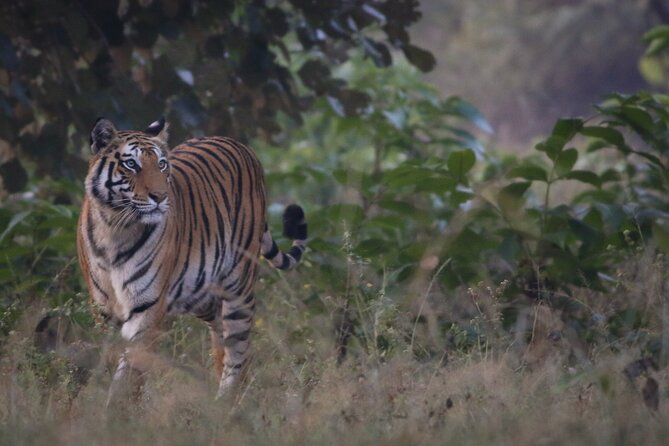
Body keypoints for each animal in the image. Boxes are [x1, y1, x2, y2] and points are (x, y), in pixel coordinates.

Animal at [76, 117, 307, 403]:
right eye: (131, 164)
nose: (160, 197)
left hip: (238, 287)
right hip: (201, 295)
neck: (115, 229)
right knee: (221, 338)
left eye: (161, 164)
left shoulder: (146, 308)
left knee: (237, 348)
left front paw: (120, 407)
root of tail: (242, 146)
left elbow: (130, 370)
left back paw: (228, 402)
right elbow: (112, 361)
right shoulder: (103, 310)